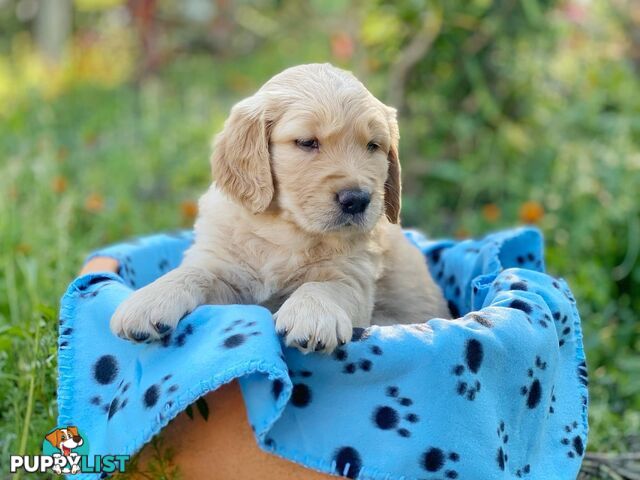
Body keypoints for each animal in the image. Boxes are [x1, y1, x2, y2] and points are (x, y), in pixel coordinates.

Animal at [110, 62, 450, 352]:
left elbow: (325, 286)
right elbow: (194, 272)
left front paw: (311, 315)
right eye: (307, 142)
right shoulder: (226, 273)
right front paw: (151, 298)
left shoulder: (354, 277)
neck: (284, 230)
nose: (357, 199)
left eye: (373, 146)